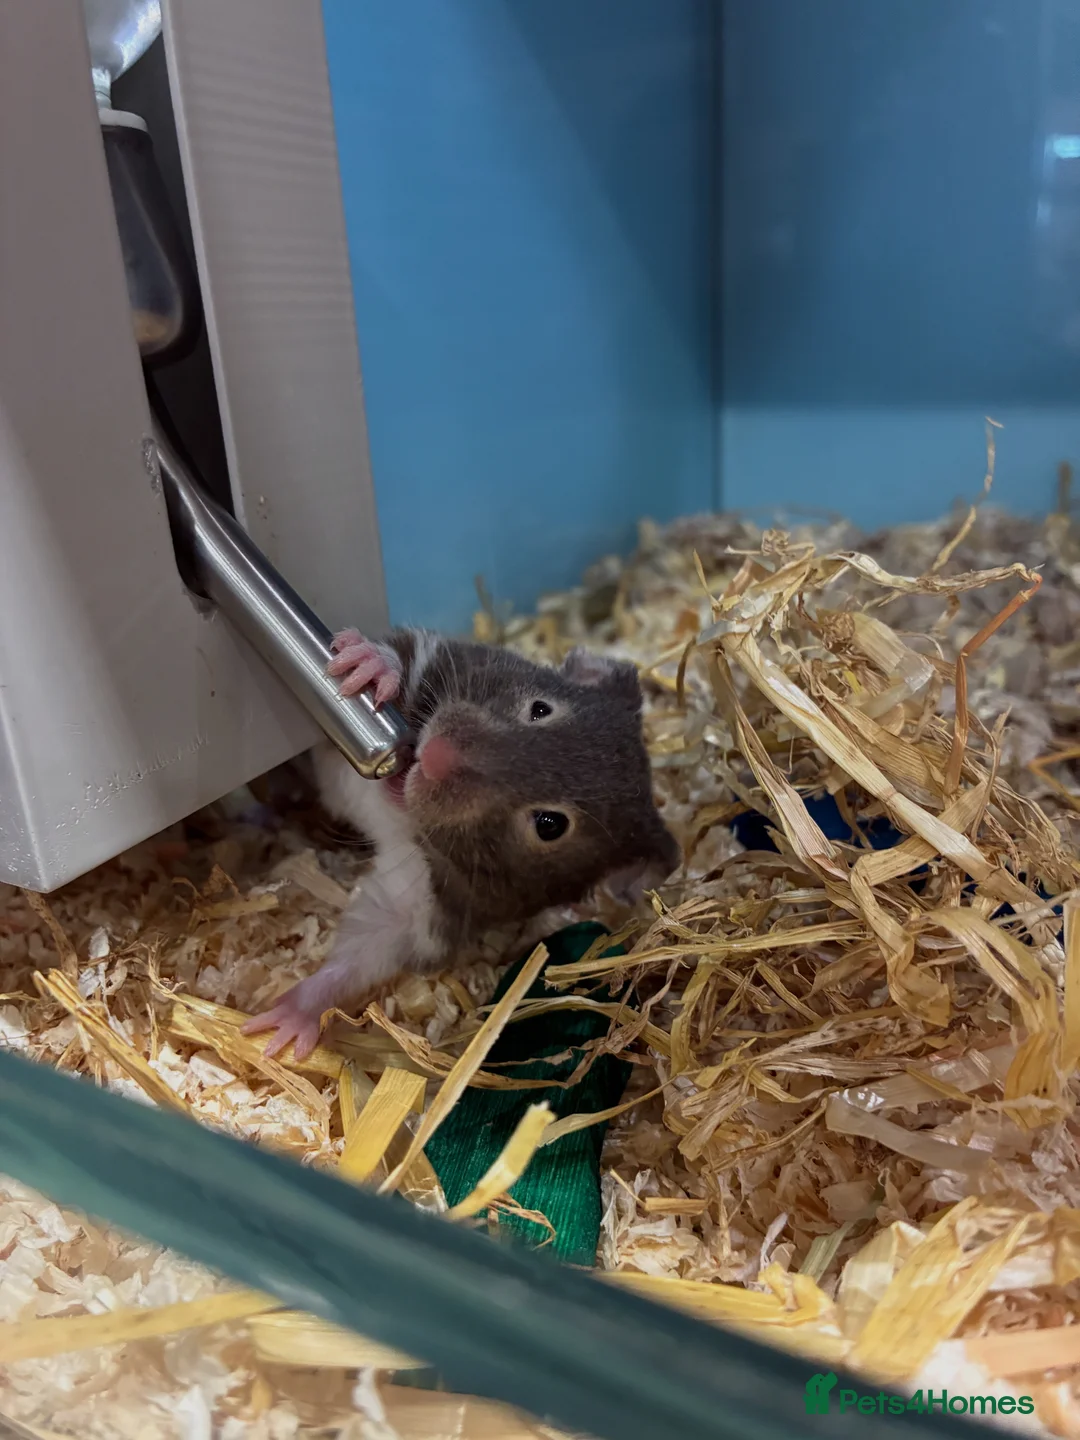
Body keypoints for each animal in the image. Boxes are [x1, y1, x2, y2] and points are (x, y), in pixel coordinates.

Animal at [244, 627, 680, 1059]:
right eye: (541, 710)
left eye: (550, 824)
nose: (435, 755)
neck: (405, 814)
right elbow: (398, 657)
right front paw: (364, 664)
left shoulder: (420, 911)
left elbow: (360, 954)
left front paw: (281, 1026)